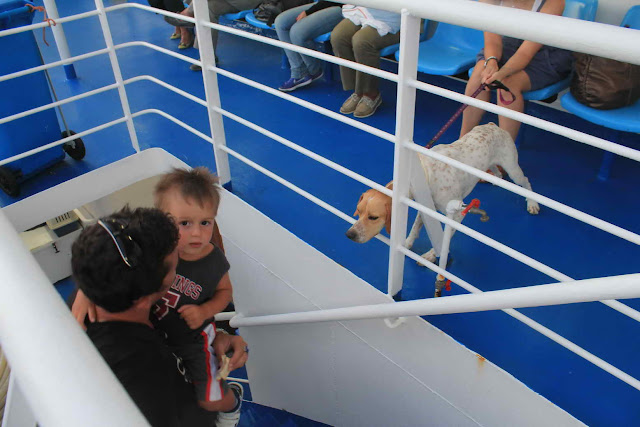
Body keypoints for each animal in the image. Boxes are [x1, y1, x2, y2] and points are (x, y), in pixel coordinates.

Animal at [345, 123, 540, 262]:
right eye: (359, 211)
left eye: (373, 217)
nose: (350, 235)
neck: (422, 174)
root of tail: (493, 125)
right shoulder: (425, 206)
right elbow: (415, 229)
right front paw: (406, 244)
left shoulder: (457, 215)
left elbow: (446, 237)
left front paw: (432, 255)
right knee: (498, 174)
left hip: (513, 169)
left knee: (526, 181)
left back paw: (533, 203)